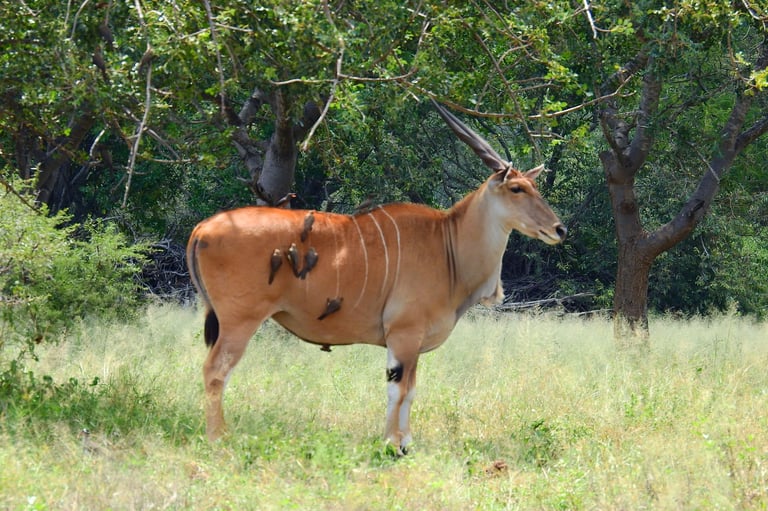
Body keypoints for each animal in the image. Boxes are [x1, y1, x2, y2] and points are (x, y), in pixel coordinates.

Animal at [186, 102, 567, 455]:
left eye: (533, 185)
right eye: (517, 189)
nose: (559, 229)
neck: (448, 243)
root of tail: (204, 227)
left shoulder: (411, 343)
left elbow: (410, 390)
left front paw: (405, 442)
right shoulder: (404, 335)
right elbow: (398, 389)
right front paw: (392, 444)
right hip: (239, 321)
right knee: (214, 372)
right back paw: (218, 439)